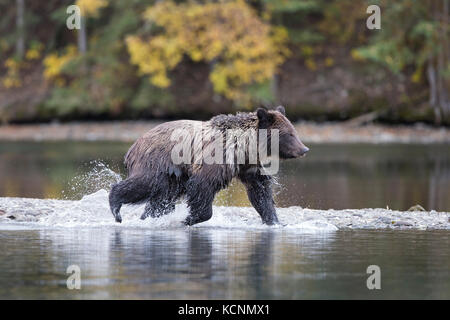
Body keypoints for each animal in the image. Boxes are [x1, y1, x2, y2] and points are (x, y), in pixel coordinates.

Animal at [109, 106, 308, 226]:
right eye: (290, 134)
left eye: (294, 131)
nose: (304, 149)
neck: (245, 147)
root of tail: (133, 145)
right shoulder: (216, 158)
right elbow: (203, 186)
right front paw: (188, 218)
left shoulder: (250, 166)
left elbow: (260, 192)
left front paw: (274, 220)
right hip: (158, 162)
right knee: (145, 183)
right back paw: (116, 208)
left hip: (174, 176)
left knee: (162, 197)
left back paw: (149, 216)